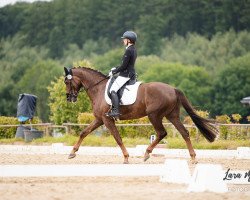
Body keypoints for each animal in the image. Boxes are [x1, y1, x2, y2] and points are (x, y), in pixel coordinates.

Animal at [63, 66, 218, 163]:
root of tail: (173, 89)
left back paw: (147, 153)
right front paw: (72, 152)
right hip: (171, 115)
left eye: (66, 81)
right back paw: (193, 158)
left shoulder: (107, 120)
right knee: (184, 132)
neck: (99, 88)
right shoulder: (99, 119)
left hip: (154, 115)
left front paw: (126, 157)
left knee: (161, 133)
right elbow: (84, 132)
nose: (70, 98)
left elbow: (118, 138)